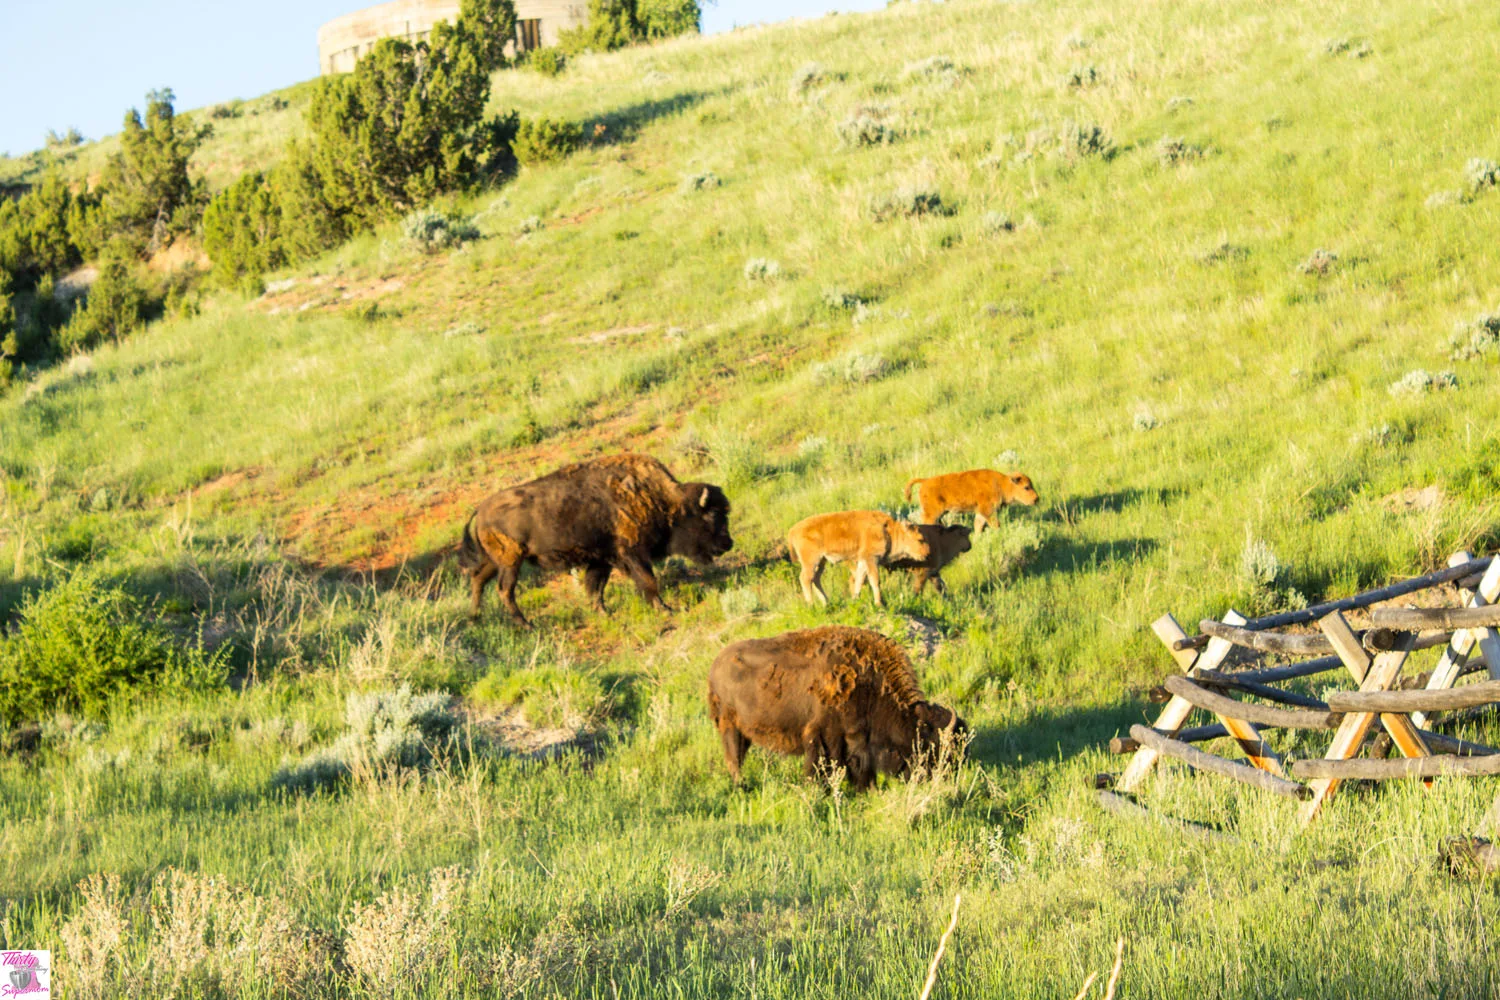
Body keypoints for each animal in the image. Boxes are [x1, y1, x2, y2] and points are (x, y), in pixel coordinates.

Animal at [459, 452, 735, 626]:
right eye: (712, 514)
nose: (728, 543)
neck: (666, 501)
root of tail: (480, 511)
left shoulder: (602, 559)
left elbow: (595, 588)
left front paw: (603, 613)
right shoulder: (632, 554)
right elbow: (648, 582)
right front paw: (665, 609)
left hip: (494, 561)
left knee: (478, 579)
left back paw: (474, 617)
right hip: (510, 562)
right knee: (505, 590)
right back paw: (526, 625)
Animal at [708, 626, 966, 791]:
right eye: (934, 746)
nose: (947, 778)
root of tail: (716, 664)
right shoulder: (823, 737)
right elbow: (819, 769)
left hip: (743, 733)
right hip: (729, 727)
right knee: (734, 759)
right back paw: (742, 787)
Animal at [786, 512, 924, 605]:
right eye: (919, 539)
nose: (925, 553)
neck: (888, 530)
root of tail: (793, 530)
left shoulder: (863, 561)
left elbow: (859, 579)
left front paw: (855, 600)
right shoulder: (871, 559)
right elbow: (874, 580)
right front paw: (879, 603)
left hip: (821, 562)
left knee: (815, 579)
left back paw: (826, 603)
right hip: (811, 561)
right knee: (805, 578)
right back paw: (811, 605)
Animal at [906, 467, 1038, 530]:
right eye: (1026, 487)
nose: (1036, 499)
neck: (1001, 484)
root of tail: (925, 481)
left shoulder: (980, 512)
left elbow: (978, 525)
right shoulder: (987, 510)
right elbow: (995, 524)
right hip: (932, 514)